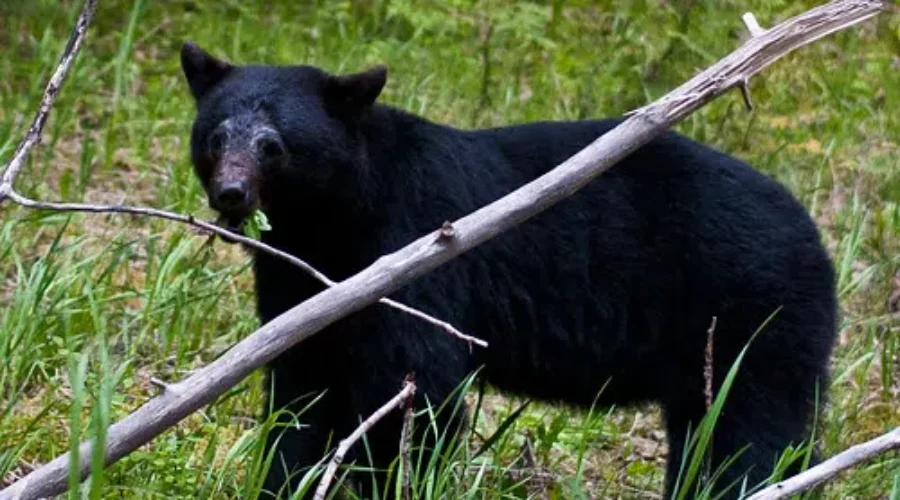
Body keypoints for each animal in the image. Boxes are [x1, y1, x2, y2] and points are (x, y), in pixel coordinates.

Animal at [180, 41, 837, 500]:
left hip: (751, 314)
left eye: (272, 144)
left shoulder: (409, 258)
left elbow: (415, 385)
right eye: (215, 135)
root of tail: (814, 238)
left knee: (748, 434)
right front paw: (280, 478)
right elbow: (300, 395)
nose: (232, 193)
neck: (331, 224)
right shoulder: (302, 285)